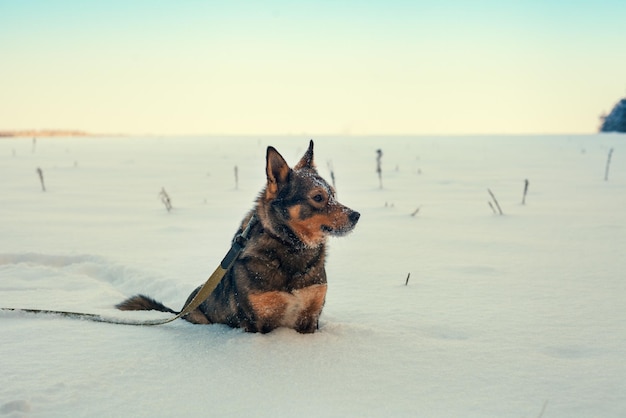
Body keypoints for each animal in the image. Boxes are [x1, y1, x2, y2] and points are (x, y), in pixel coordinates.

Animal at [117, 140, 358, 334]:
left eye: (334, 194)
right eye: (318, 197)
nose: (356, 215)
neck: (291, 250)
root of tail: (180, 309)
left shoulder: (310, 317)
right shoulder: (256, 323)